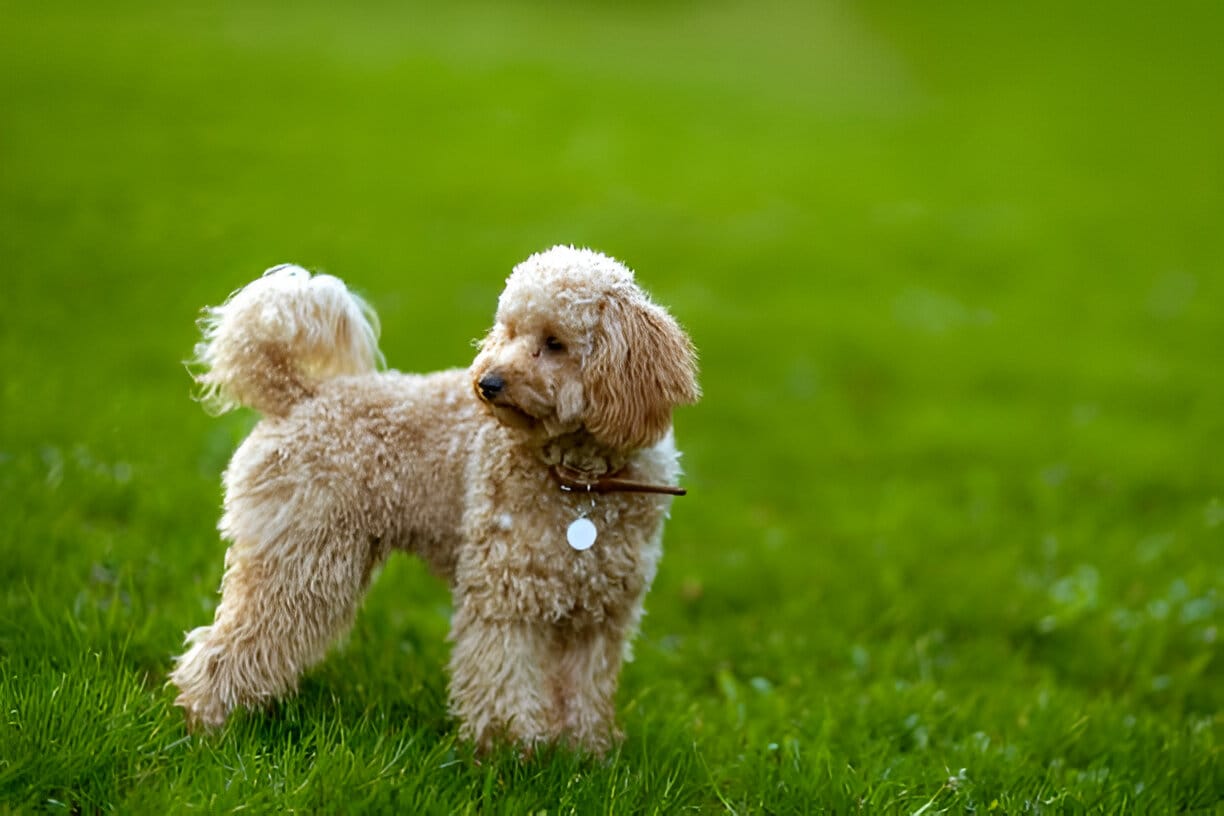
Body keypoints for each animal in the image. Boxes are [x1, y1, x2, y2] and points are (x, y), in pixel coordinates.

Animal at [167, 244, 700, 753]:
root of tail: (299, 395)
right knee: (229, 645)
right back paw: (209, 724)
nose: (487, 384)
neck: (581, 482)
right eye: (507, 332)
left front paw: (584, 753)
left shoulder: (599, 616)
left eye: (554, 343)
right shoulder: (504, 596)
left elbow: (584, 691)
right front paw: (510, 749)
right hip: (301, 562)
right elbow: (502, 676)